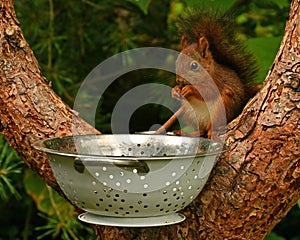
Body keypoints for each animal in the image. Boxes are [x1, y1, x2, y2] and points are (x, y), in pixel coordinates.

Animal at [172, 9, 262, 138]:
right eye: (177, 62)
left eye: (194, 65)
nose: (179, 80)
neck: (208, 72)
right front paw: (175, 90)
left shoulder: (217, 81)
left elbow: (208, 91)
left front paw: (190, 89)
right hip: (190, 113)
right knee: (201, 131)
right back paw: (186, 132)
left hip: (222, 107)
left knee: (211, 128)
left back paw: (213, 131)